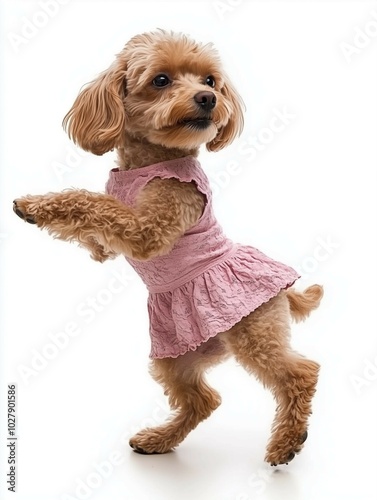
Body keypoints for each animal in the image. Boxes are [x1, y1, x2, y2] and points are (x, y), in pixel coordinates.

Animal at [13, 30, 322, 464]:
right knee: (204, 399)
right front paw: (67, 229)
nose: (208, 98)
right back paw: (158, 439)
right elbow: (98, 227)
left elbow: (93, 202)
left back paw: (286, 443)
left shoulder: (150, 228)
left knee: (300, 373)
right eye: (161, 80)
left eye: (210, 81)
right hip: (173, 359)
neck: (149, 161)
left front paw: (34, 206)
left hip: (254, 332)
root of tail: (285, 290)